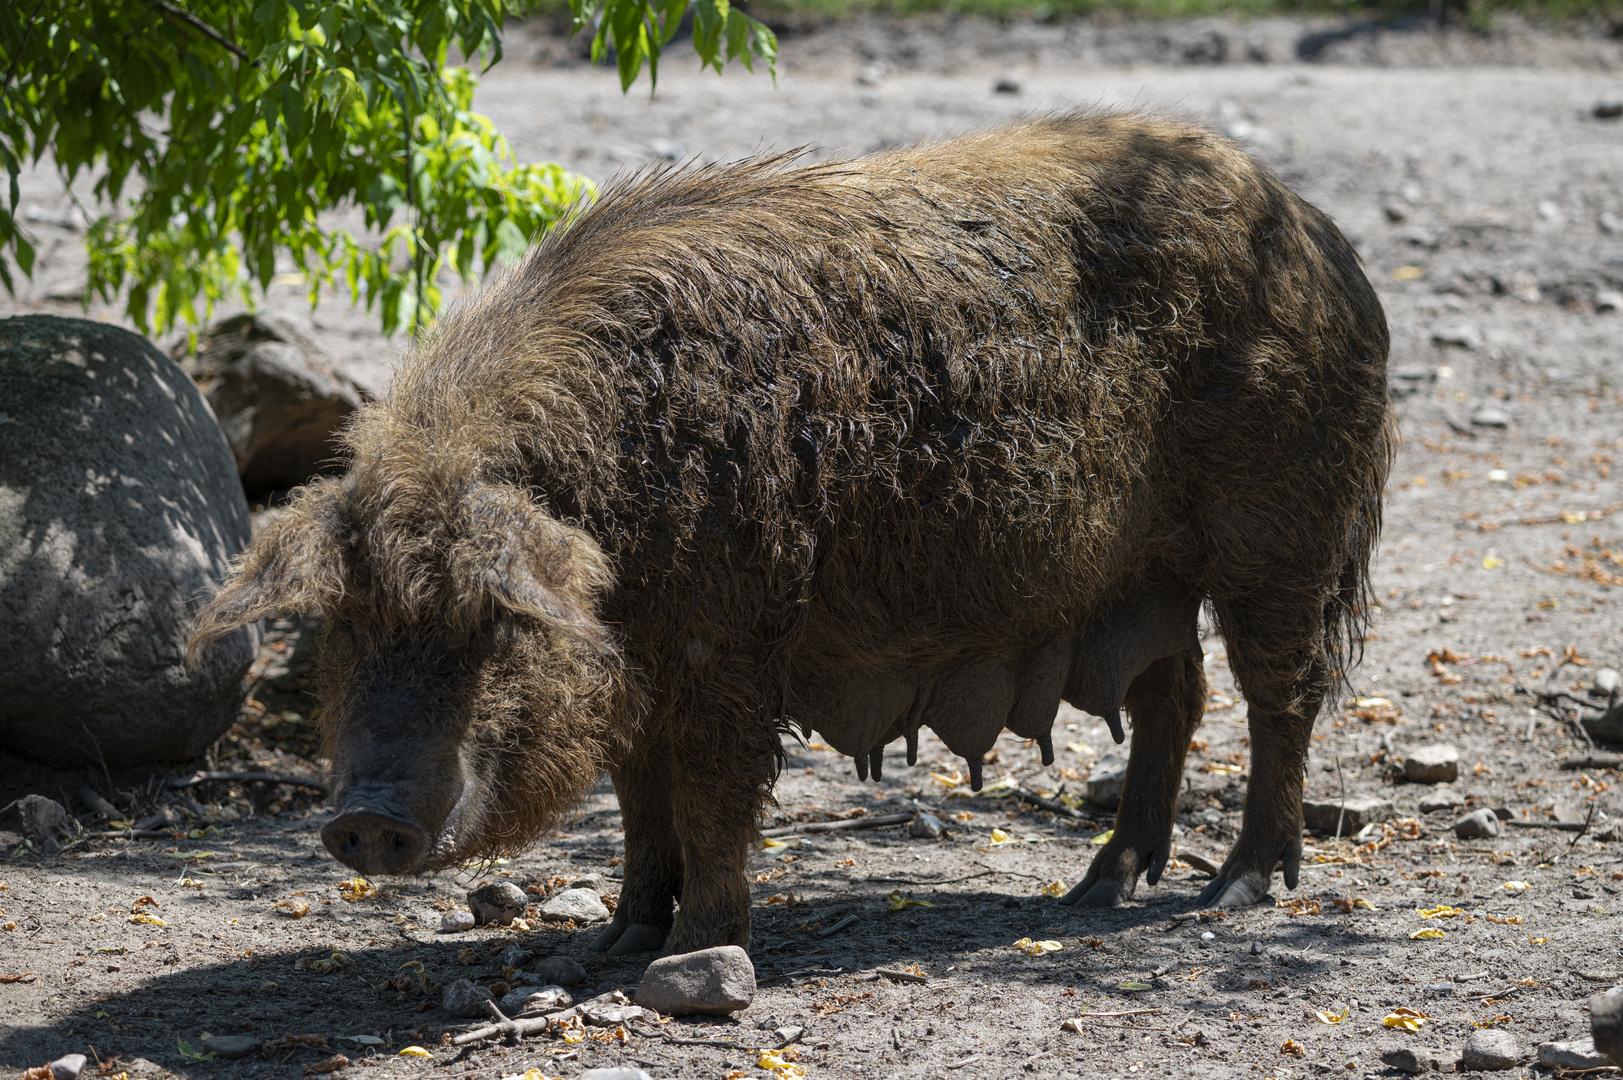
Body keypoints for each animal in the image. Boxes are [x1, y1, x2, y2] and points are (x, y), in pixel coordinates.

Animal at [189, 109, 1389, 954]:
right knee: (1170, 694)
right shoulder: (636, 672)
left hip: (1282, 528)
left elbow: (714, 794)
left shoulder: (735, 629)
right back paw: (1094, 892)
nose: (363, 822)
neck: (610, 522)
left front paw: (700, 955)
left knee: (1279, 696)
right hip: (1130, 577)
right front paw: (601, 953)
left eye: (492, 625)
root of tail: (1319, 232)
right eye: (347, 626)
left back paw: (1233, 892)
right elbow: (641, 807)